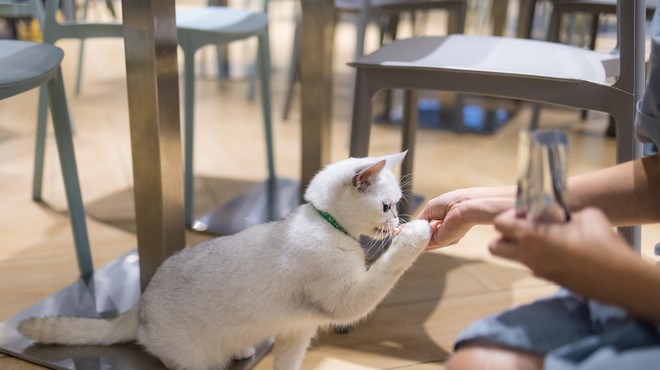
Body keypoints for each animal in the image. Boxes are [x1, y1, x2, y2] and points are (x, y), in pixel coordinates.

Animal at [16, 151, 434, 370]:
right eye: (387, 206)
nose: (398, 222)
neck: (327, 224)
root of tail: (140, 305)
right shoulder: (346, 302)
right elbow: (386, 269)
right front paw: (419, 233)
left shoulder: (297, 332)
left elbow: (288, 364)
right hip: (194, 359)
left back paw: (244, 348)